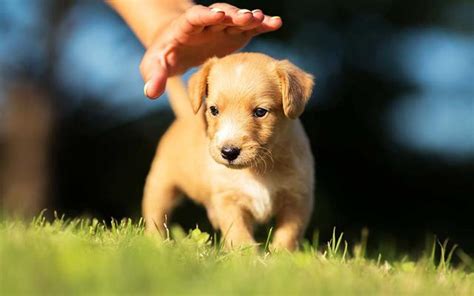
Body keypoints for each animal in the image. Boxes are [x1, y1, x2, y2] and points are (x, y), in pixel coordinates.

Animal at [143, 52, 314, 250]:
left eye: (260, 112)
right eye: (213, 110)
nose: (228, 152)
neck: (258, 170)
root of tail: (185, 116)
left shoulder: (297, 199)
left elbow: (288, 235)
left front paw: (282, 255)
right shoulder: (229, 201)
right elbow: (239, 236)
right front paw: (247, 255)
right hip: (161, 184)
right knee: (155, 215)